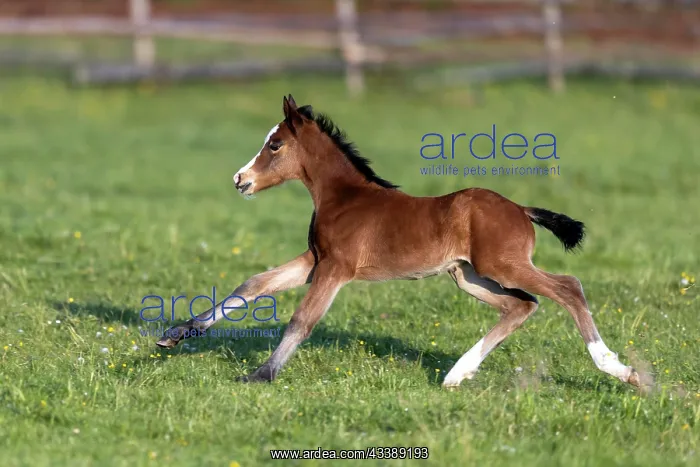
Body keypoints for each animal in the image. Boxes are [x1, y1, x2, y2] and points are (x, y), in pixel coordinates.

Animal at [156, 94, 642, 389]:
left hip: (502, 264)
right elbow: (253, 284)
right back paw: (457, 374)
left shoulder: (336, 268)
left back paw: (619, 370)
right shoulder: (315, 260)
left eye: (274, 145)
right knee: (522, 306)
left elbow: (301, 321)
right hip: (467, 276)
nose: (241, 180)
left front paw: (262, 374)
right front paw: (176, 335)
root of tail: (521, 209)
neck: (343, 197)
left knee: (567, 288)